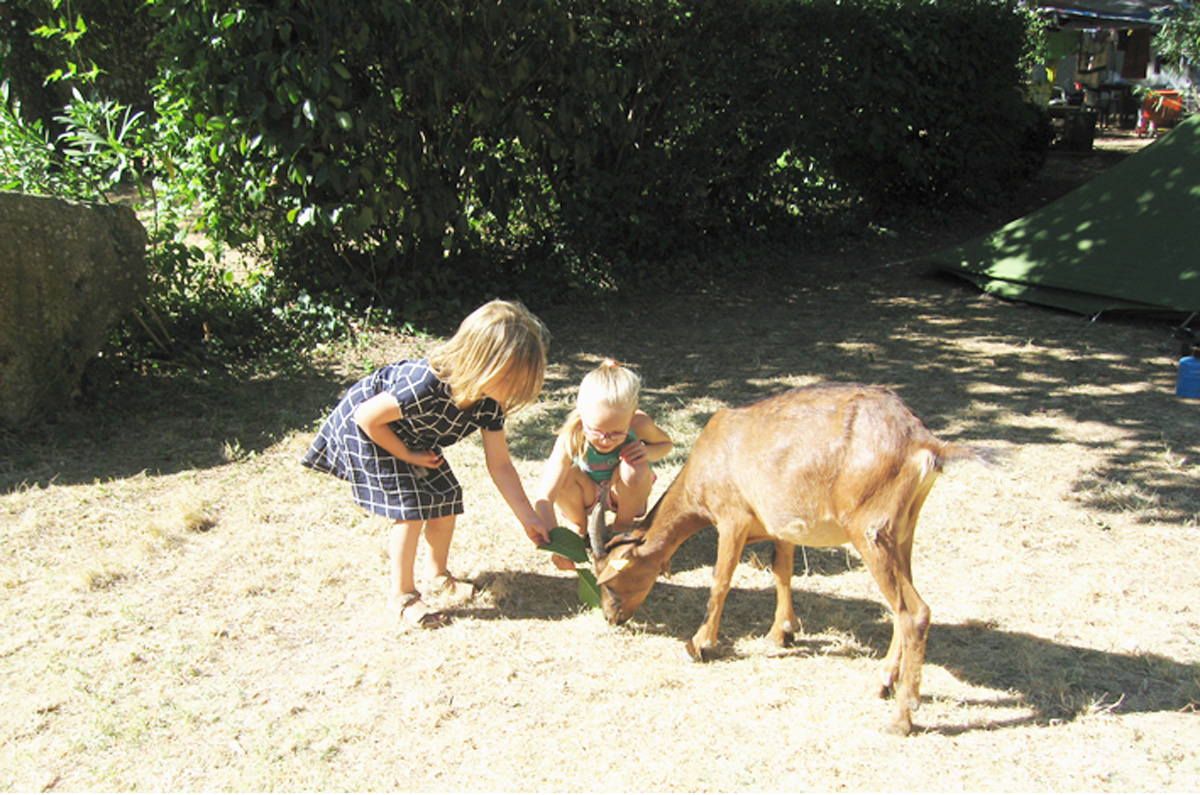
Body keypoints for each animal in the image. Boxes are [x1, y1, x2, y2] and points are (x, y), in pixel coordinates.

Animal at [595, 384, 988, 739]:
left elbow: (721, 579)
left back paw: (900, 719)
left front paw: (699, 644)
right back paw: (885, 683)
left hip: (870, 532)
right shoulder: (782, 526)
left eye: (609, 579)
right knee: (901, 607)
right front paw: (781, 633)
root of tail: (924, 441)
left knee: (915, 612)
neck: (710, 457)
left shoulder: (732, 518)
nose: (612, 617)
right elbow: (781, 569)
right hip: (902, 532)